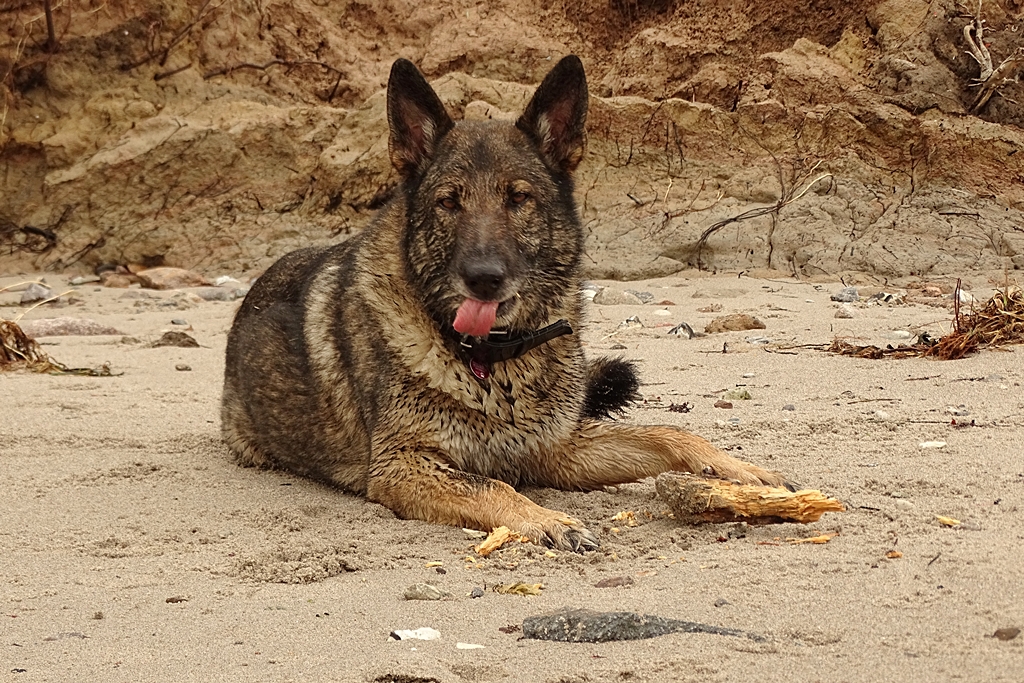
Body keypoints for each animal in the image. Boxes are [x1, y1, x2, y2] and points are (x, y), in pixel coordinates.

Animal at [220, 56, 786, 552]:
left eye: (519, 198)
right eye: (449, 202)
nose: (484, 279)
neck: (494, 361)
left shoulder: (558, 451)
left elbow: (668, 433)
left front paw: (739, 469)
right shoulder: (402, 466)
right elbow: (493, 485)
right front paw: (549, 521)